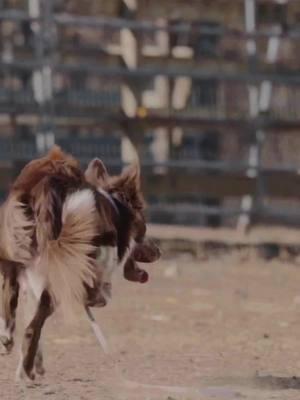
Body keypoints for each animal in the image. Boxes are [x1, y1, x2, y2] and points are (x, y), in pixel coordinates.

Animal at [0, 146, 161, 382]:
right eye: (145, 229)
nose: (158, 251)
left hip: (15, 255)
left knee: (11, 308)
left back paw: (13, 348)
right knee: (32, 326)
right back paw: (28, 370)